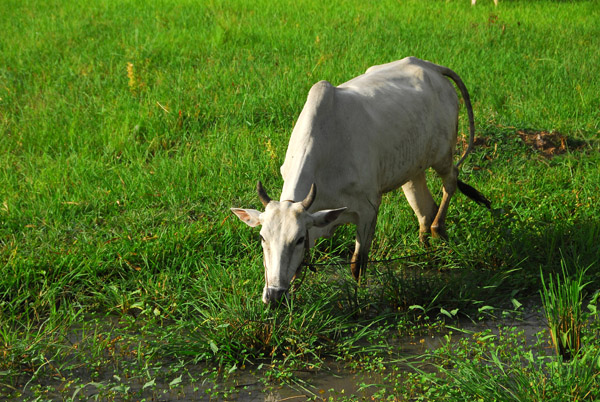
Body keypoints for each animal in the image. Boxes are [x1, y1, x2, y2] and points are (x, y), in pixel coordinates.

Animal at [232, 55, 490, 302]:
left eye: (297, 239)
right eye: (262, 238)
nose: (273, 294)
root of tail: (431, 67)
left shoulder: (368, 211)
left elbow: (358, 264)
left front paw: (360, 298)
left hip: (443, 156)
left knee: (450, 182)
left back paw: (439, 230)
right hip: (412, 170)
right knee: (425, 210)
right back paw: (426, 254)